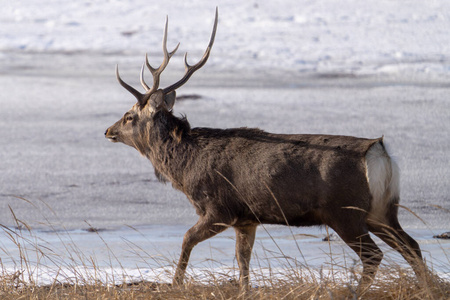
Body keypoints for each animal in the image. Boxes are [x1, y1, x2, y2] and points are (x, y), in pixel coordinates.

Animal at [104, 8, 426, 290]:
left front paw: (176, 284)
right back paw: (427, 287)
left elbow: (186, 240)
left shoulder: (219, 207)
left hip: (345, 212)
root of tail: (379, 152)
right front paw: (244, 290)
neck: (185, 167)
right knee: (412, 246)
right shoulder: (247, 219)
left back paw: (356, 291)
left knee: (375, 255)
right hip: (383, 210)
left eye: (129, 116)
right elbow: (242, 260)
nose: (108, 130)